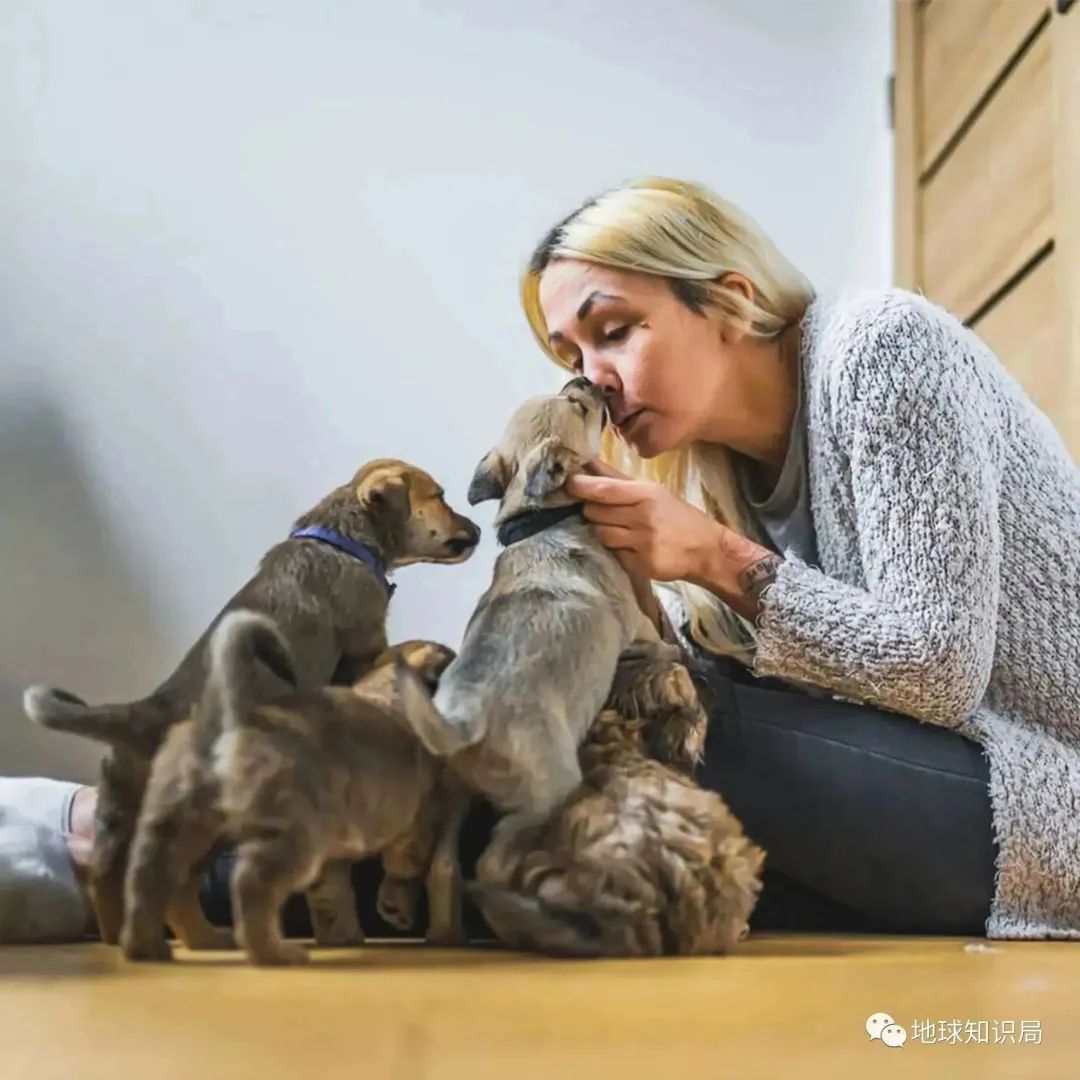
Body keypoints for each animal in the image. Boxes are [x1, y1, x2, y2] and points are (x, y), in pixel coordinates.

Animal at [121, 613, 461, 965]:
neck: (387, 691)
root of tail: (234, 718)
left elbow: (333, 892)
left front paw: (342, 932)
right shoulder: (417, 823)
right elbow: (404, 866)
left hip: (184, 829)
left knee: (155, 884)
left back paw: (161, 945)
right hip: (294, 837)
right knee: (249, 885)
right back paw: (273, 952)